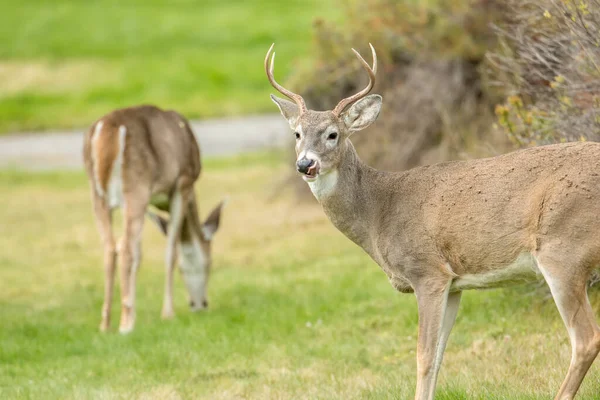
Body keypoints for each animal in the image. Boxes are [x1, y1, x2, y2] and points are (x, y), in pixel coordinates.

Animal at [82, 104, 225, 332]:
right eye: (209, 263)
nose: (200, 304)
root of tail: (106, 129)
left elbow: (140, 255)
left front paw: (135, 312)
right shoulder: (182, 183)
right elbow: (171, 252)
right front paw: (167, 313)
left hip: (97, 194)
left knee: (110, 247)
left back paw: (105, 324)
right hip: (135, 186)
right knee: (124, 247)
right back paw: (125, 324)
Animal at [266, 44, 600, 400]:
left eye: (333, 134)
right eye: (297, 134)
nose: (305, 164)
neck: (378, 211)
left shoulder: (427, 272)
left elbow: (423, 356)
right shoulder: (454, 284)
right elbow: (439, 356)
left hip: (563, 249)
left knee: (586, 339)